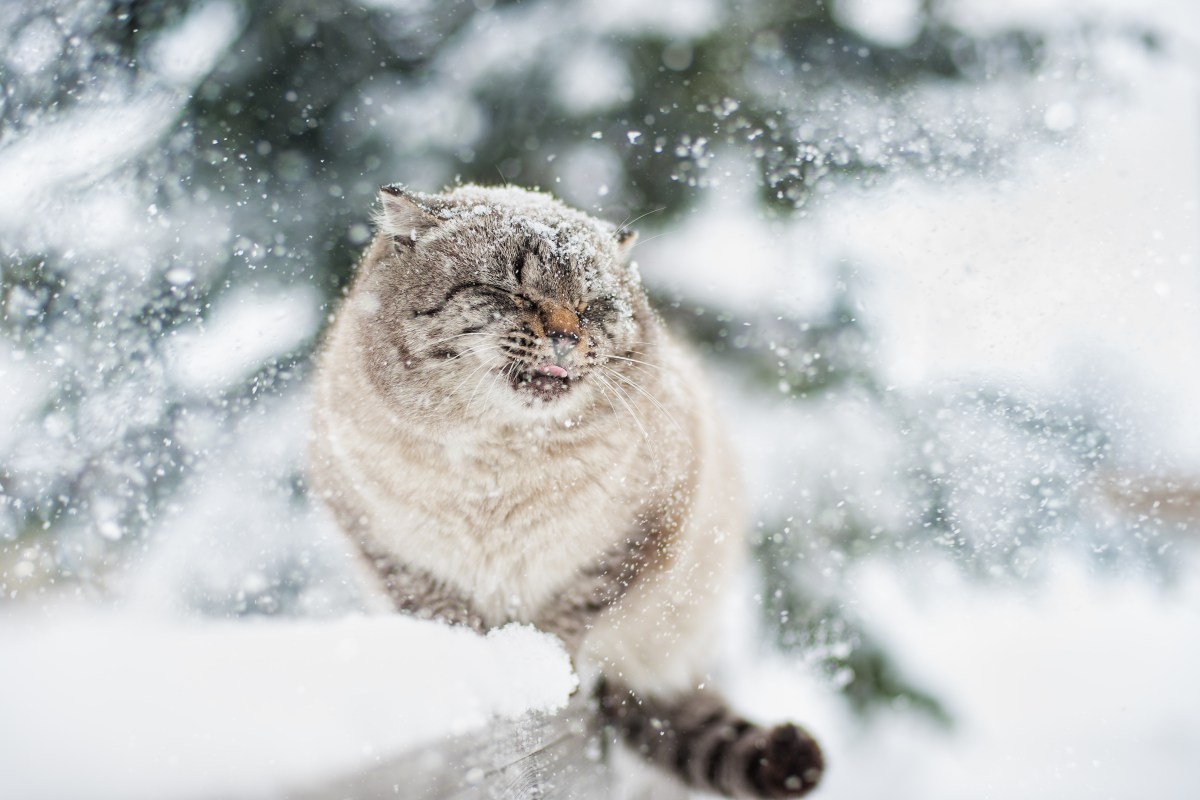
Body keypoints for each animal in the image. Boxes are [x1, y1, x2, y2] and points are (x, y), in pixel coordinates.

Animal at [307, 184, 825, 796]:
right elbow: (446, 616)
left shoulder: (636, 535)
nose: (565, 336)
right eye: (510, 290)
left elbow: (569, 616)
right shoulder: (381, 542)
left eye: (593, 305)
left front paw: (542, 670)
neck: (498, 462)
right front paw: (491, 671)